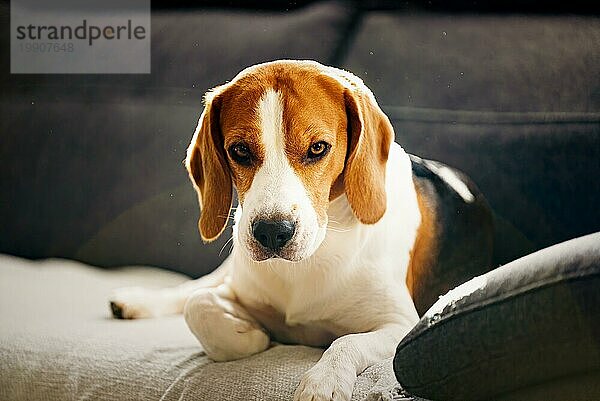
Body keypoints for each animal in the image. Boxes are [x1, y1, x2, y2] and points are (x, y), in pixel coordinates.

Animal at [111, 60, 492, 400]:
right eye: (240, 150)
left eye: (318, 148)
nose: (271, 233)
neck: (310, 259)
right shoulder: (238, 287)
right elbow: (199, 305)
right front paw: (249, 334)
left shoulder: (399, 326)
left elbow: (345, 342)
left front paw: (323, 382)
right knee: (198, 287)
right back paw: (140, 300)